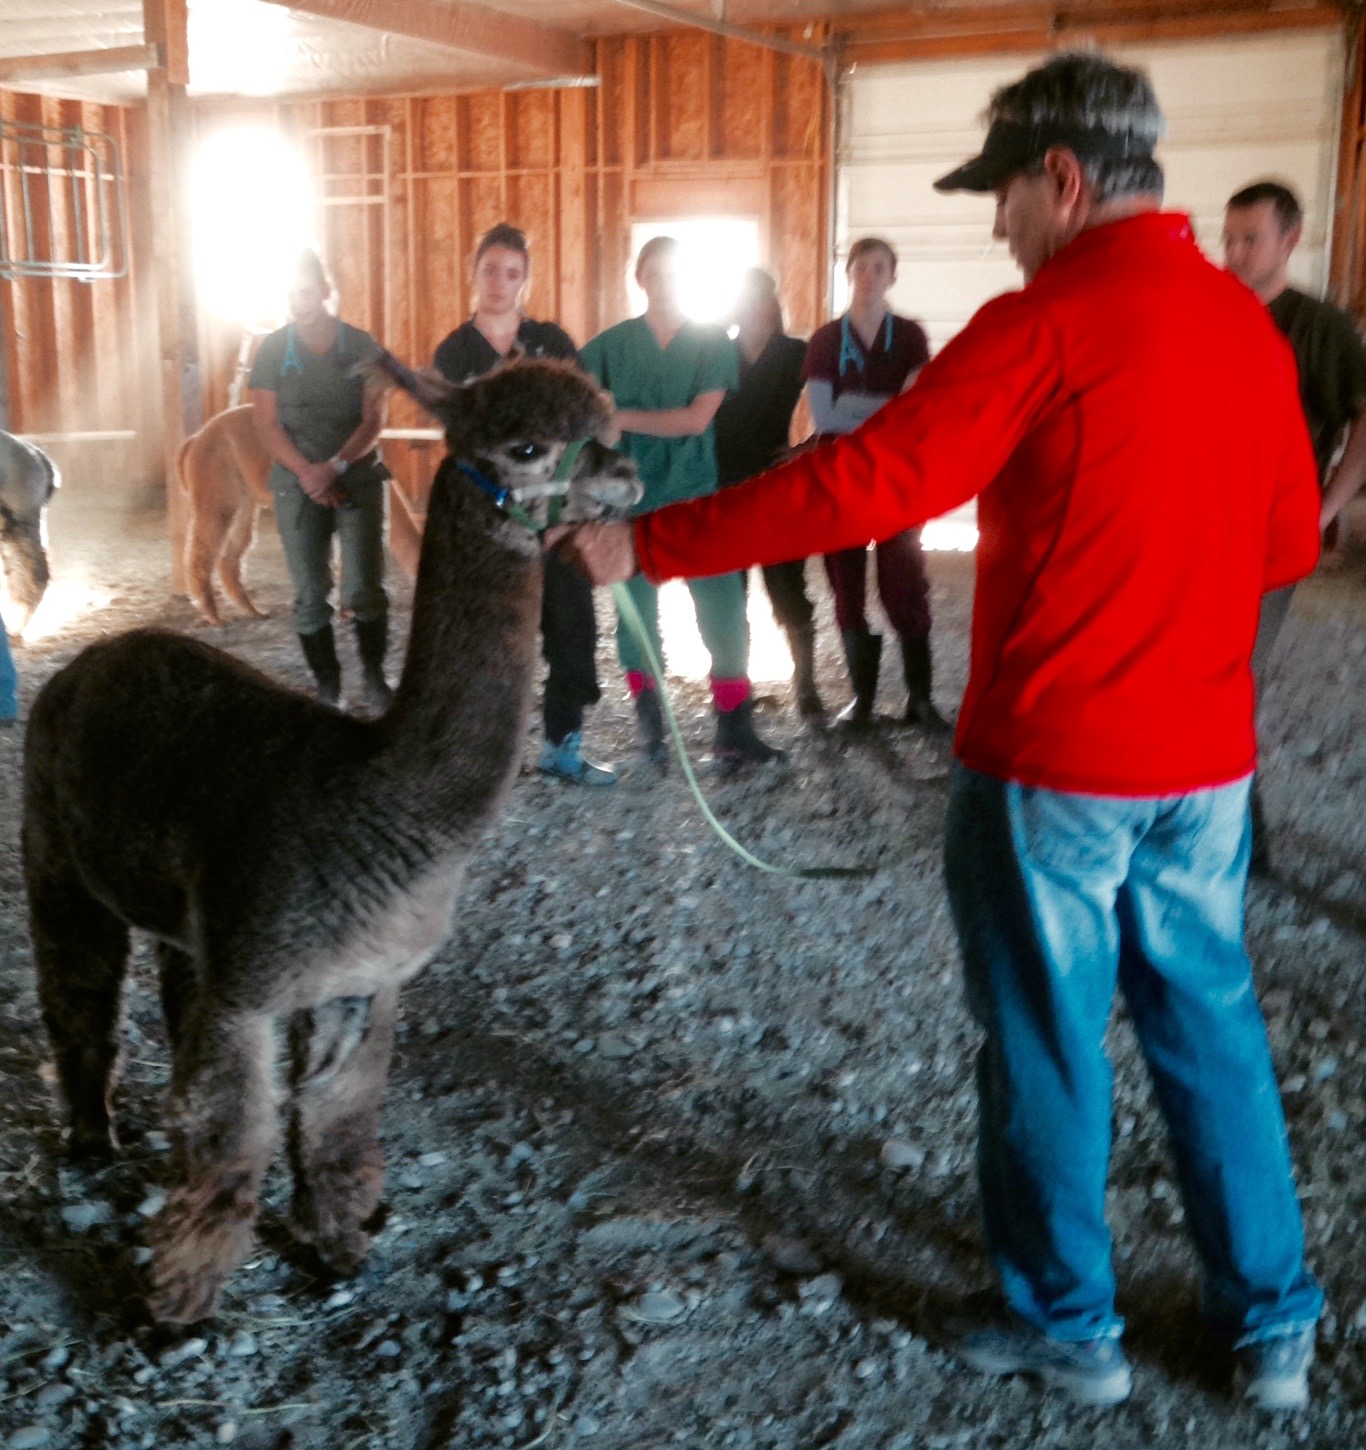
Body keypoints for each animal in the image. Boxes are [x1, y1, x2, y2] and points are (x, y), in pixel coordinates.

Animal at [178, 405, 274, 626]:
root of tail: (196, 438)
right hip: (218, 498)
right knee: (201, 555)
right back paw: (215, 617)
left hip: (245, 502)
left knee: (228, 558)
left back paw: (254, 612)